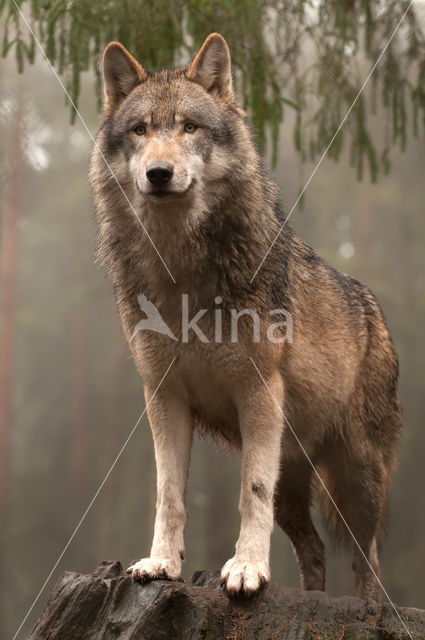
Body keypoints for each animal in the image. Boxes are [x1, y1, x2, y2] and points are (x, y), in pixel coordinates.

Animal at [89, 32, 400, 596]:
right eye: (141, 130)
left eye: (189, 127)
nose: (159, 173)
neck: (181, 274)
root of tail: (374, 310)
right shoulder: (164, 397)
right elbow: (169, 494)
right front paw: (160, 563)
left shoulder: (259, 393)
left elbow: (248, 492)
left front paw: (247, 570)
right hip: (294, 480)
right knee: (315, 550)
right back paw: (311, 596)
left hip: (356, 478)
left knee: (367, 559)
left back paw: (367, 608)